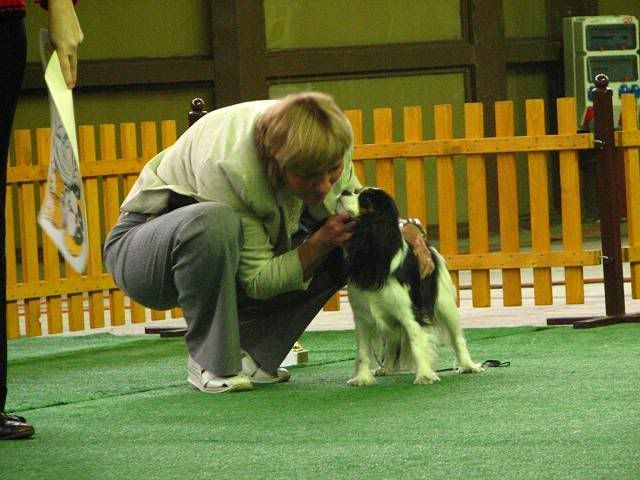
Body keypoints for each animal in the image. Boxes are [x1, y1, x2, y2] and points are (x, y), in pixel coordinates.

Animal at [338, 187, 483, 386]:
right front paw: (362, 378)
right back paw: (387, 368)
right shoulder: (362, 318)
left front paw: (425, 375)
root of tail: (428, 246)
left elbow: (417, 343)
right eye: (356, 191)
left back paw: (468, 365)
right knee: (392, 341)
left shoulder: (410, 313)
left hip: (445, 306)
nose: (343, 191)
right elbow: (363, 352)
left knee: (457, 338)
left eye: (365, 199)